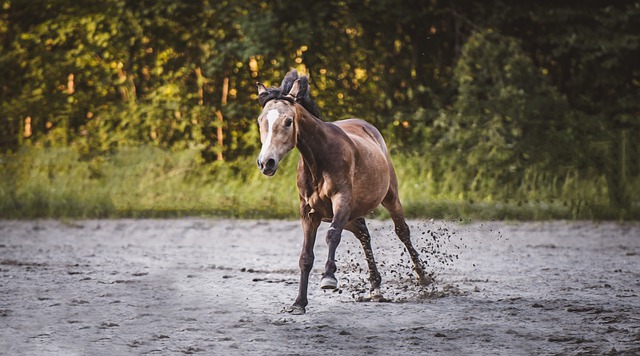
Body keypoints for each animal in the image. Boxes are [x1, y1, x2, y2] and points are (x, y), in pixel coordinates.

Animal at [255, 69, 430, 314]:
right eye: (261, 121)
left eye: (288, 121)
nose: (266, 163)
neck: (318, 159)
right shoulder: (309, 213)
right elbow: (305, 256)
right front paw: (299, 303)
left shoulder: (342, 200)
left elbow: (332, 236)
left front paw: (328, 278)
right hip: (349, 215)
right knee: (364, 235)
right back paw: (375, 287)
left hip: (389, 197)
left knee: (402, 231)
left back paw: (423, 277)